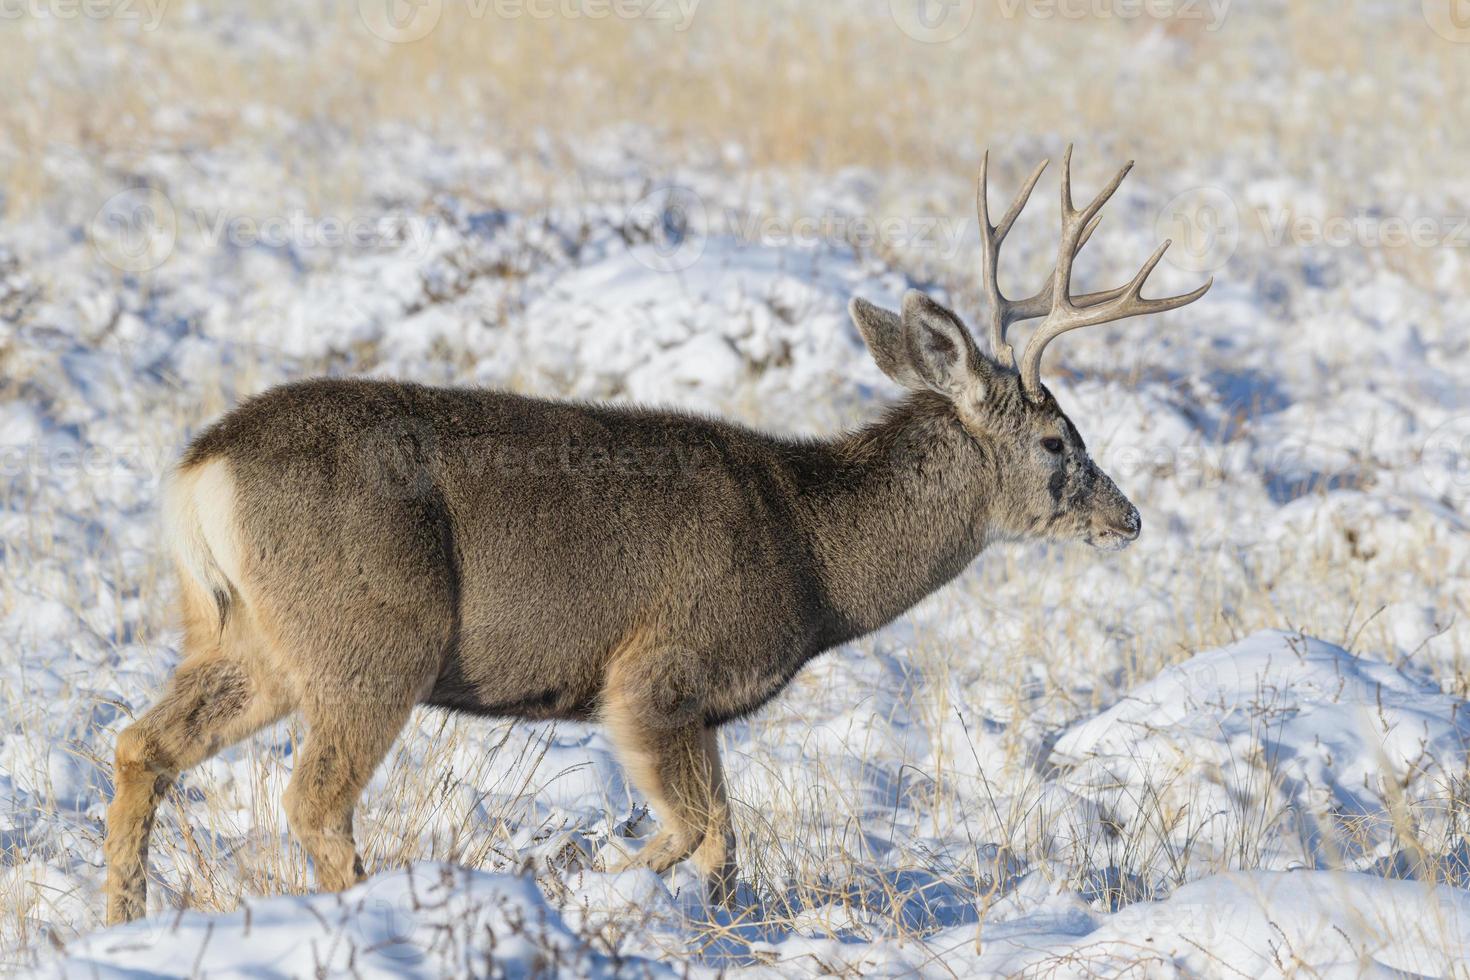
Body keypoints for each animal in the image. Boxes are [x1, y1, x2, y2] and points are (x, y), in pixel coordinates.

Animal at [103, 143, 1205, 922]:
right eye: (1060, 440)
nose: (1128, 517)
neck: (815, 552)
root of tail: (200, 467)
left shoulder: (704, 712)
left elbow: (727, 846)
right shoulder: (657, 673)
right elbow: (697, 828)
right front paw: (593, 887)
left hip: (247, 633)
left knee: (140, 743)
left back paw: (118, 922)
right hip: (374, 634)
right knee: (314, 801)